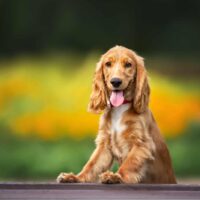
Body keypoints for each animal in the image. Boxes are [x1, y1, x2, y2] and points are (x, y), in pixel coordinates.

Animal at [56, 46, 177, 184]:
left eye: (128, 64)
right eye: (108, 64)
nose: (115, 81)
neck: (120, 108)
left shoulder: (142, 144)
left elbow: (129, 164)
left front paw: (116, 176)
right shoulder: (105, 145)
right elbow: (91, 165)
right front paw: (75, 177)